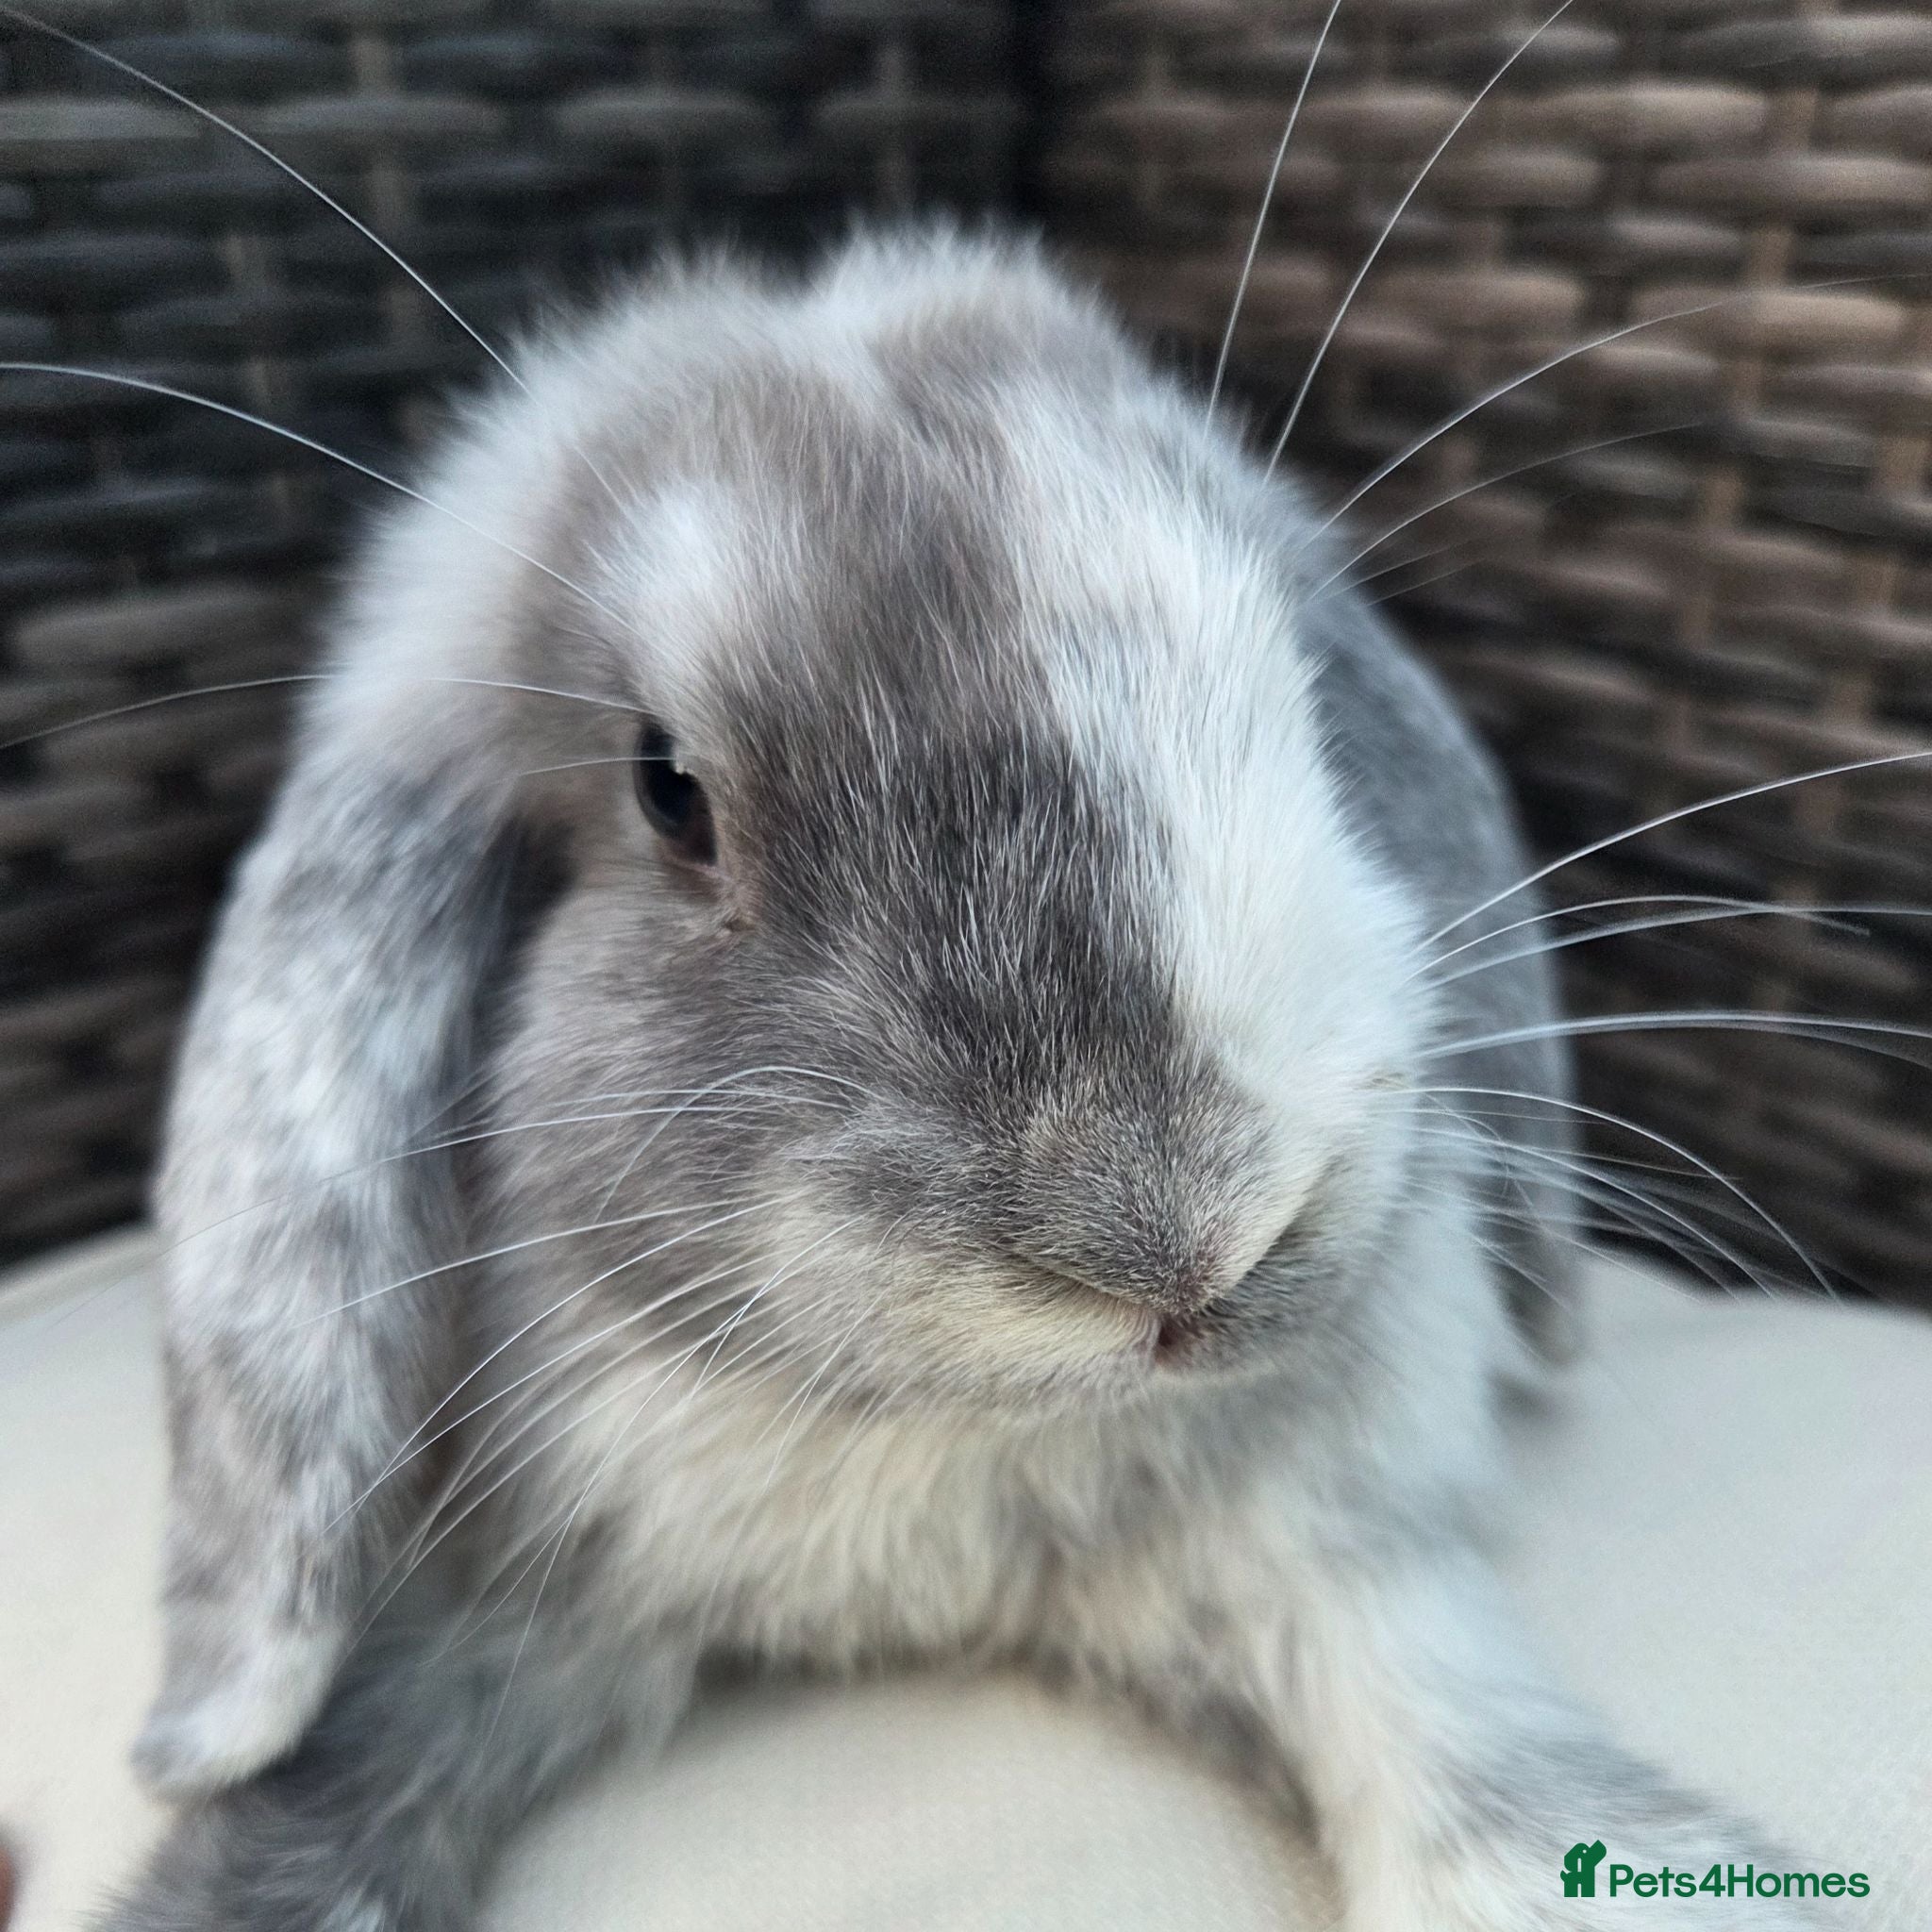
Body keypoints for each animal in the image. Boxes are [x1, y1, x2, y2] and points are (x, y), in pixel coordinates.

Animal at [108, 228, 1809, 1931]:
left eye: (1304, 701)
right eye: (669, 791)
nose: (1185, 1238)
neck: (953, 1439)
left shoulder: (1325, 1573)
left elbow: (1468, 1775)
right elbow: (322, 1797)